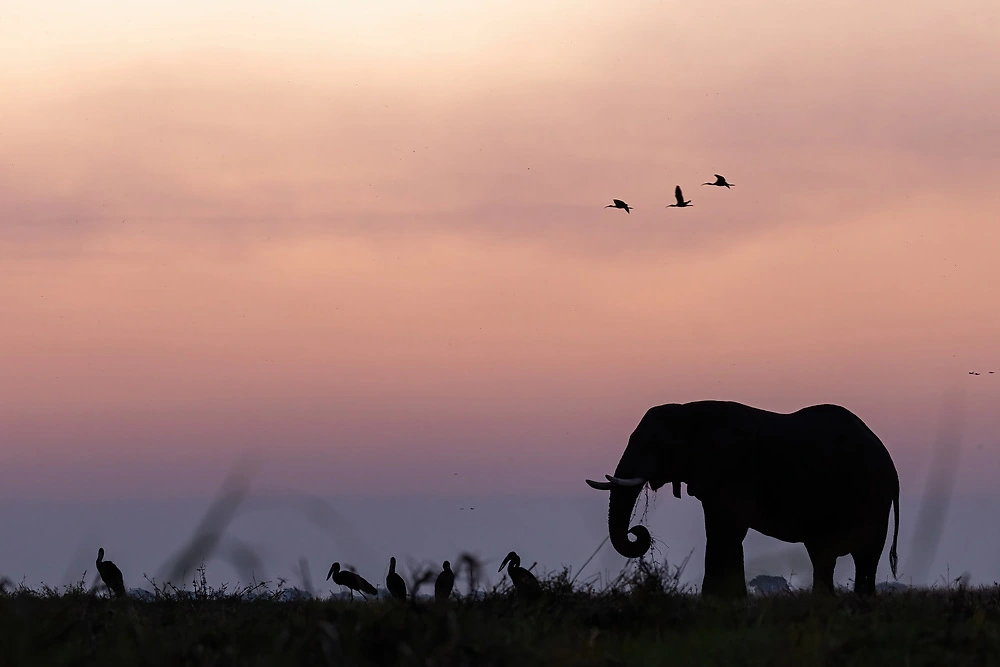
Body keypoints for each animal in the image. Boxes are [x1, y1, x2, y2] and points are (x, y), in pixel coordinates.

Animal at [584, 402, 904, 600]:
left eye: (654, 444)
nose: (637, 532)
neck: (690, 411)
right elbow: (718, 529)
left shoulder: (734, 468)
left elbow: (727, 530)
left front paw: (722, 600)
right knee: (823, 553)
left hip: (874, 495)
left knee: (866, 553)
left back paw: (861, 601)